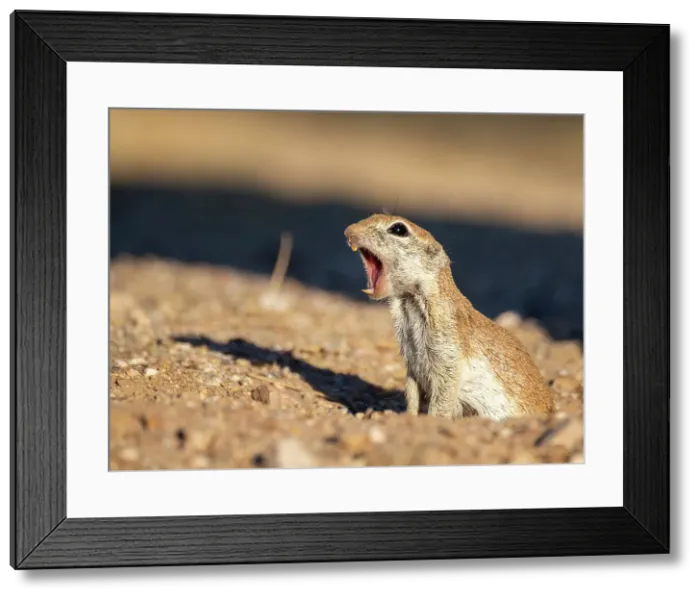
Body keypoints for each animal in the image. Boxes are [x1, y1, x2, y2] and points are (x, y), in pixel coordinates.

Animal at [344, 213, 555, 421]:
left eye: (398, 229)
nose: (348, 231)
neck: (409, 303)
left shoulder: (447, 349)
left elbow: (444, 392)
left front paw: (429, 421)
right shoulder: (411, 360)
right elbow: (412, 393)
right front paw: (407, 416)